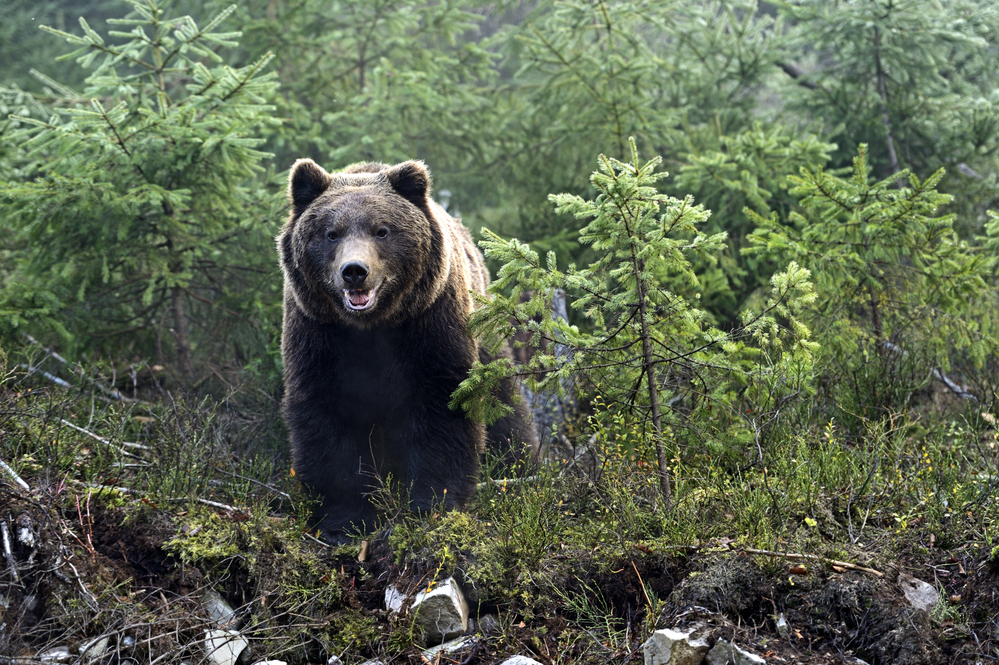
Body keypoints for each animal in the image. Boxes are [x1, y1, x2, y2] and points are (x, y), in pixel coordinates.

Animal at [278, 158, 536, 544]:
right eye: (331, 233)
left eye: (381, 231)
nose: (354, 271)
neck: (372, 326)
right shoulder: (319, 335)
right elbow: (327, 419)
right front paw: (344, 522)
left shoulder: (429, 324)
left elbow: (442, 406)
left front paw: (432, 505)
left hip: (484, 332)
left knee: (505, 405)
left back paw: (521, 464)